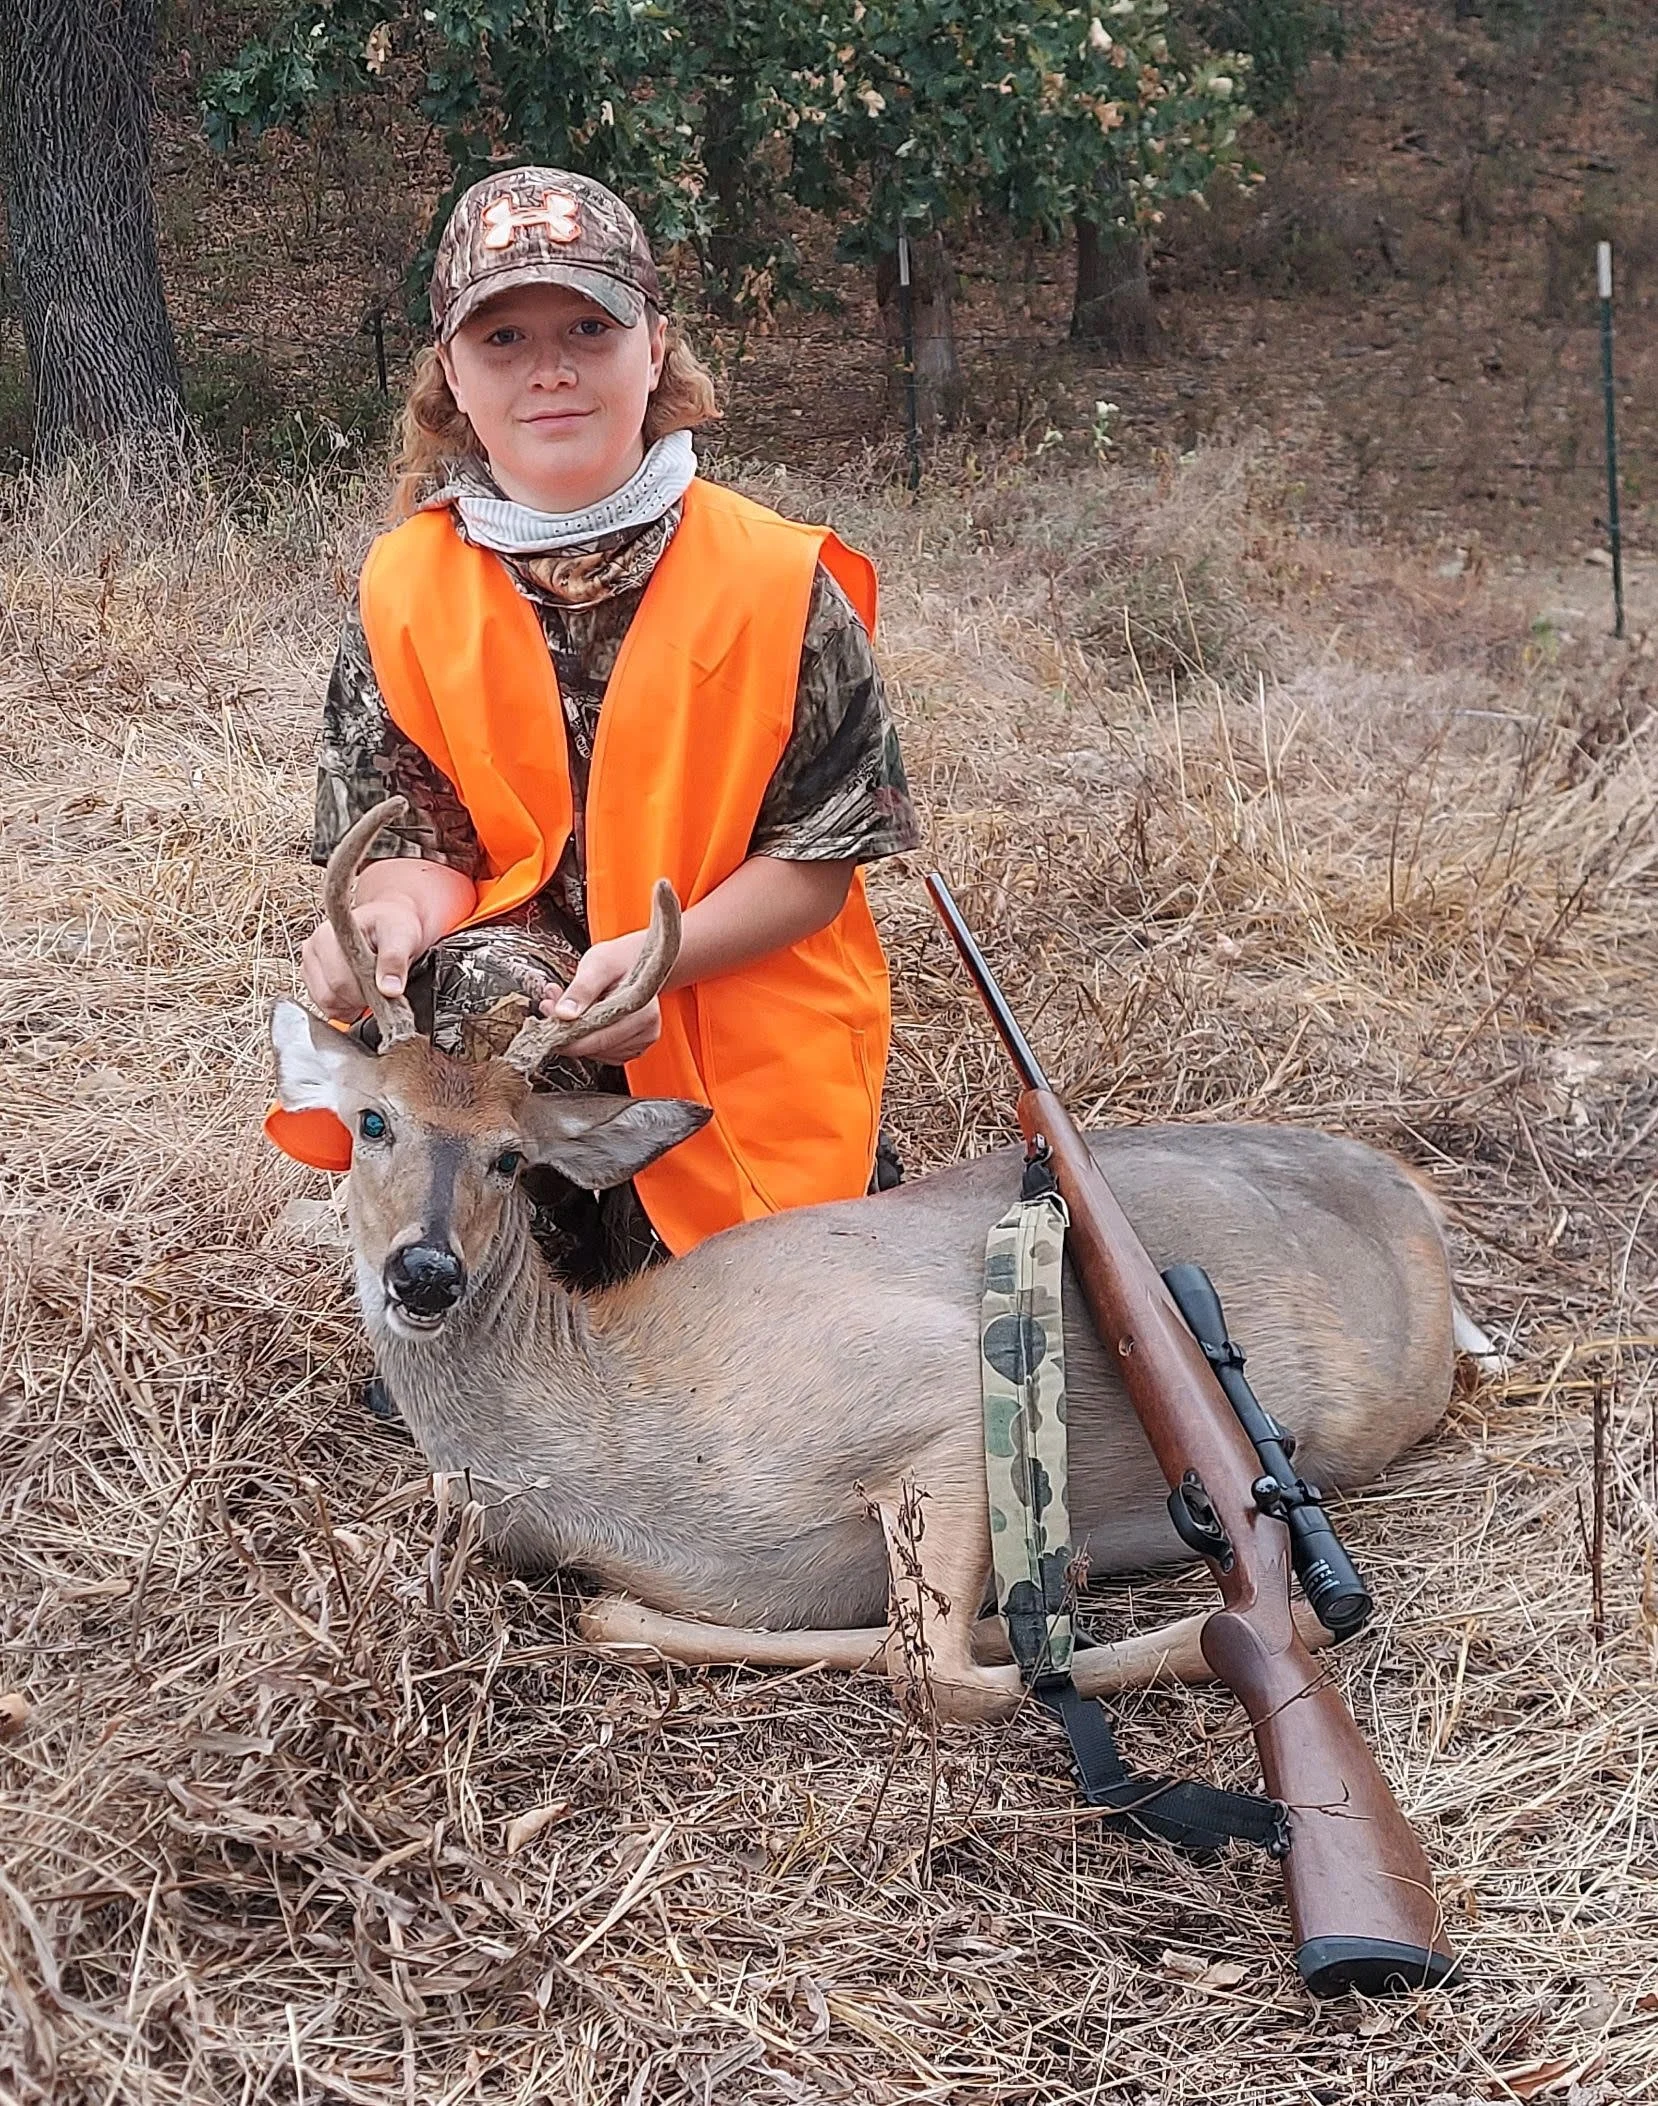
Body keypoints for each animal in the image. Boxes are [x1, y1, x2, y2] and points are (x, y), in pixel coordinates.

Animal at [270, 798, 1491, 1725]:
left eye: (512, 1157)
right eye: (372, 1121)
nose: (424, 1275)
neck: (613, 1442)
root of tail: (1418, 1200)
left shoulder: (937, 1391)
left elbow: (934, 1668)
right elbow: (608, 1614)